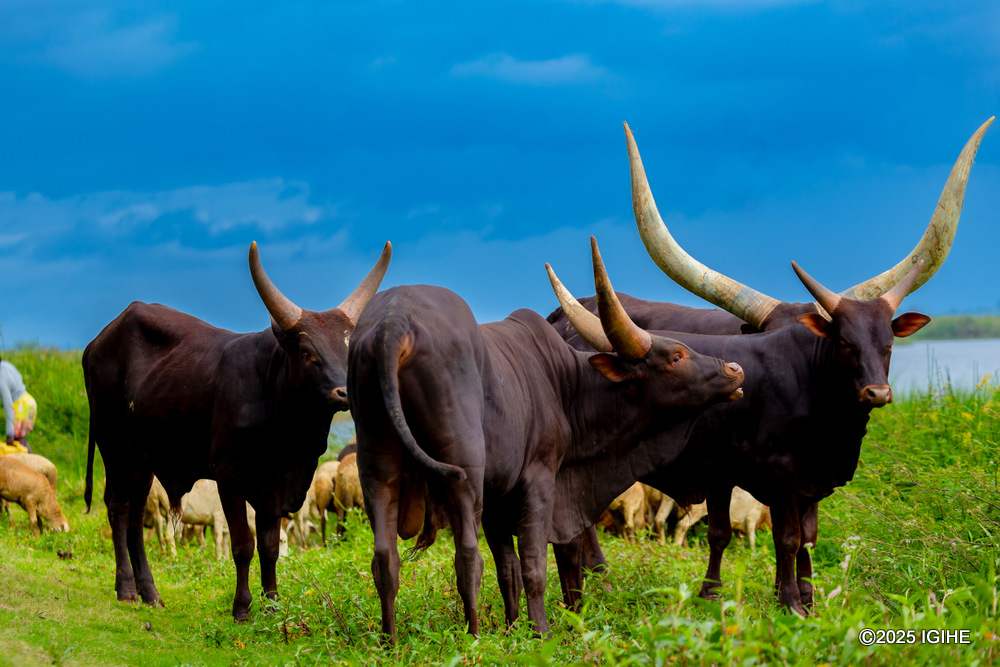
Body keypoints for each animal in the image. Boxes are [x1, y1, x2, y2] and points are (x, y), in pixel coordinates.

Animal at [82, 240, 391, 621]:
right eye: (307, 353)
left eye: (349, 350)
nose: (344, 392)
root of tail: (98, 341)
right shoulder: (230, 477)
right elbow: (244, 543)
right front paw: (242, 607)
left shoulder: (276, 487)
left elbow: (270, 547)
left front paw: (273, 604)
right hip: (114, 446)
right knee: (119, 508)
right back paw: (126, 589)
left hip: (143, 458)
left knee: (137, 515)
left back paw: (150, 592)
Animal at [347, 237, 744, 641]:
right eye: (676, 356)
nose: (734, 369)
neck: (566, 386)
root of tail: (393, 321)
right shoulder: (538, 482)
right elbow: (533, 566)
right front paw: (540, 633)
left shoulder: (498, 498)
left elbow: (508, 569)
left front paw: (512, 629)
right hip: (463, 475)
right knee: (467, 556)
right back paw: (473, 637)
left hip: (377, 470)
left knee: (385, 559)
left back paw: (390, 642)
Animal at [547, 119, 991, 615]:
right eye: (842, 342)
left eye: (888, 344)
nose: (877, 393)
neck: (826, 419)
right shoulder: (768, 477)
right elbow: (781, 537)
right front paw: (785, 601)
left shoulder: (797, 480)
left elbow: (800, 538)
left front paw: (800, 598)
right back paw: (597, 581)